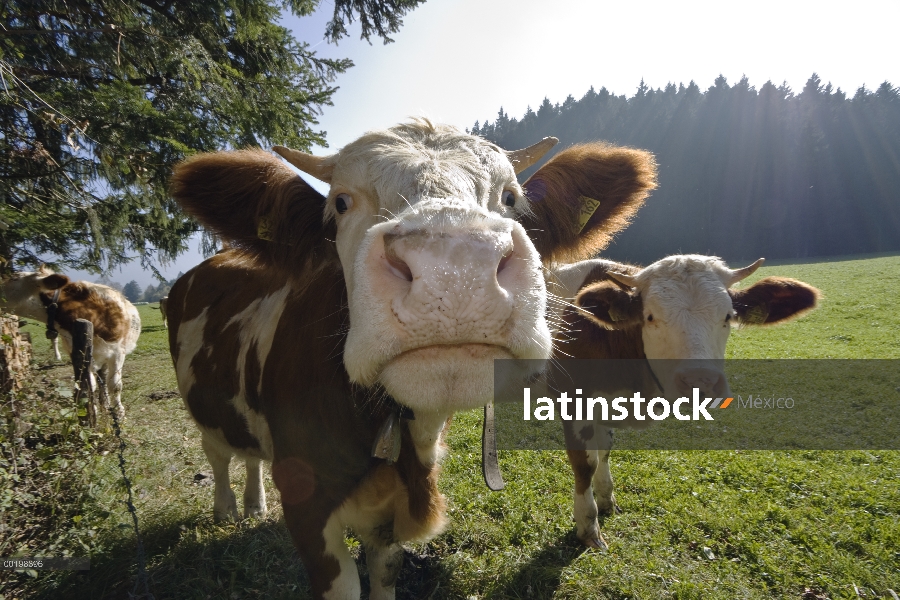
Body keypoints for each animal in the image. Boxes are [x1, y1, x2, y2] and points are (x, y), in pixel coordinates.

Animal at [0, 268, 142, 418]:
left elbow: (115, 385)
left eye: (14, 278)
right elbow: (88, 385)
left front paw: (120, 414)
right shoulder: (77, 352)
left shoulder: (118, 352)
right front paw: (92, 413)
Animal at [167, 119, 652, 596]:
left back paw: (253, 505)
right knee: (217, 453)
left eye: (511, 198)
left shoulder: (388, 521)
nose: (455, 269)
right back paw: (227, 508)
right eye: (340, 202)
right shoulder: (306, 508)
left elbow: (385, 574)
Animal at [544, 253, 820, 548]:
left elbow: (604, 450)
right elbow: (585, 464)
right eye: (650, 316)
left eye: (728, 316)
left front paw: (607, 500)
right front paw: (589, 528)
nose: (701, 382)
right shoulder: (573, 402)